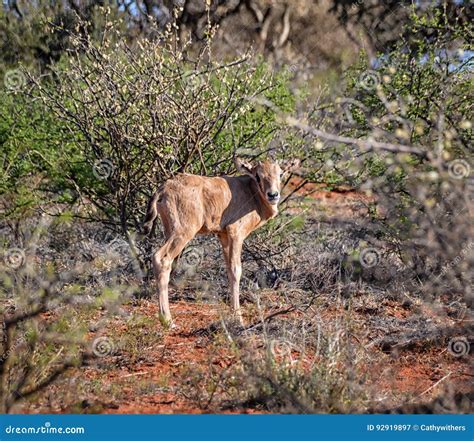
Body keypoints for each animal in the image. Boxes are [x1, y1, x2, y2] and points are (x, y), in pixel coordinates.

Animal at [143, 158, 290, 324]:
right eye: (257, 175)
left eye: (280, 173)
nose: (273, 195)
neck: (250, 190)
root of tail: (164, 188)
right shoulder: (236, 234)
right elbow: (236, 270)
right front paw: (238, 317)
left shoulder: (224, 237)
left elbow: (229, 269)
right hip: (183, 232)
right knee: (162, 259)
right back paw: (168, 321)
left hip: (170, 231)